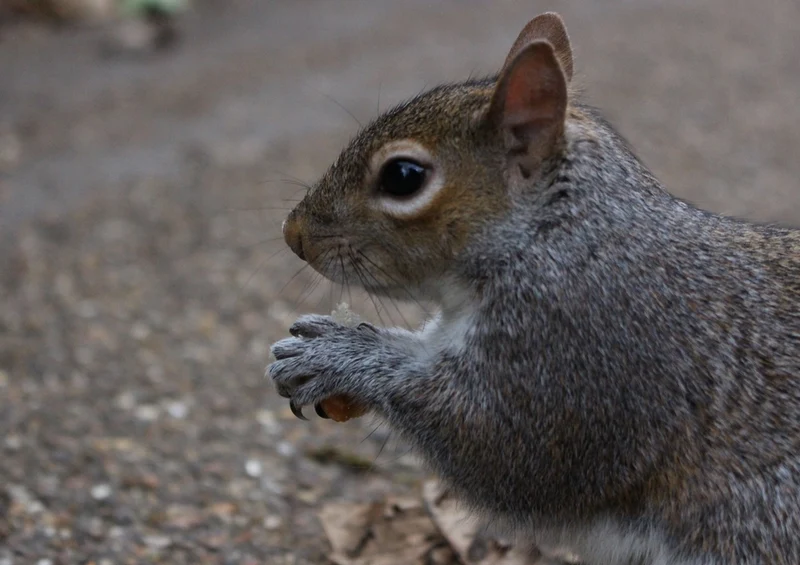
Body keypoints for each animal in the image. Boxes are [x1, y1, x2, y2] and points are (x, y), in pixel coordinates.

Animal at [268, 12, 800, 565]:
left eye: (403, 176)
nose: (293, 234)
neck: (556, 236)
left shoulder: (580, 352)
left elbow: (504, 450)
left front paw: (337, 355)